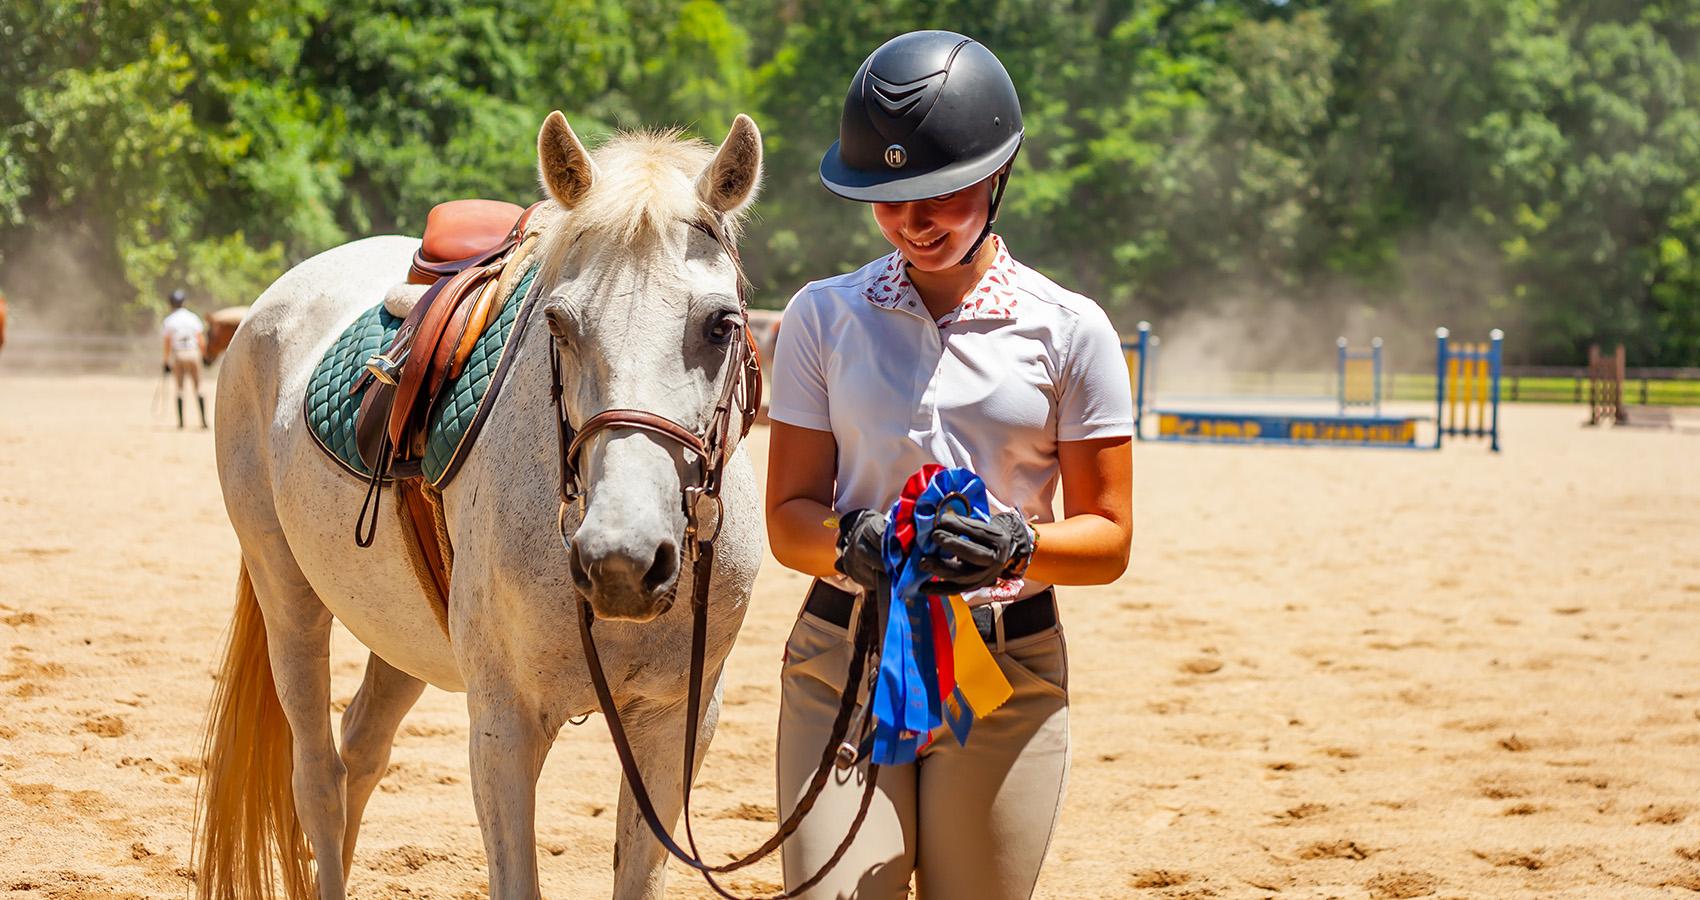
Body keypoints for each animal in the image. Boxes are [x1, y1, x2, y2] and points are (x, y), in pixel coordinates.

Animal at [197, 110, 766, 899]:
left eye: (721, 324)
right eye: (558, 324)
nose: (620, 561)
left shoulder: (676, 721)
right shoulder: (503, 724)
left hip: (401, 625)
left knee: (360, 750)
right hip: (287, 596)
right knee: (317, 778)